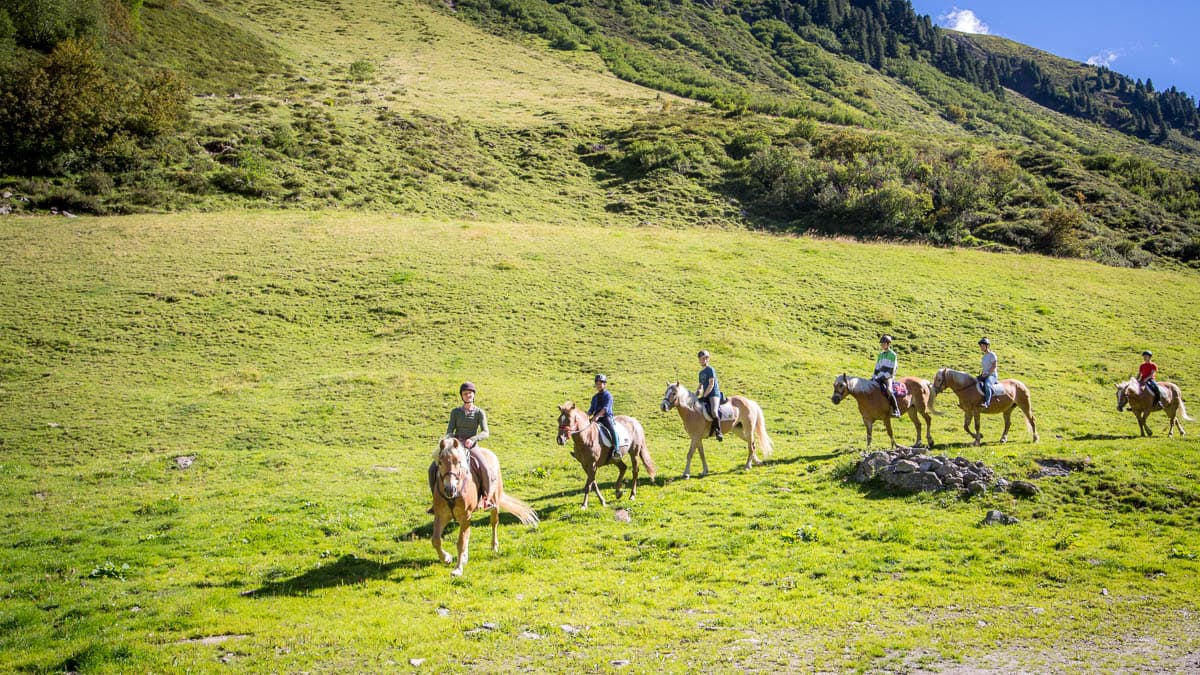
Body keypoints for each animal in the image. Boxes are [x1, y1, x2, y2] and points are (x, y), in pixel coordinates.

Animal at [430, 437, 538, 576]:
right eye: (440, 462)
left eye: (458, 462)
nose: (450, 489)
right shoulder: (441, 516)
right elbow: (436, 540)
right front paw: (447, 558)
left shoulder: (465, 516)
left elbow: (461, 542)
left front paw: (458, 568)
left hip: (495, 503)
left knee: (494, 523)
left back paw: (494, 546)